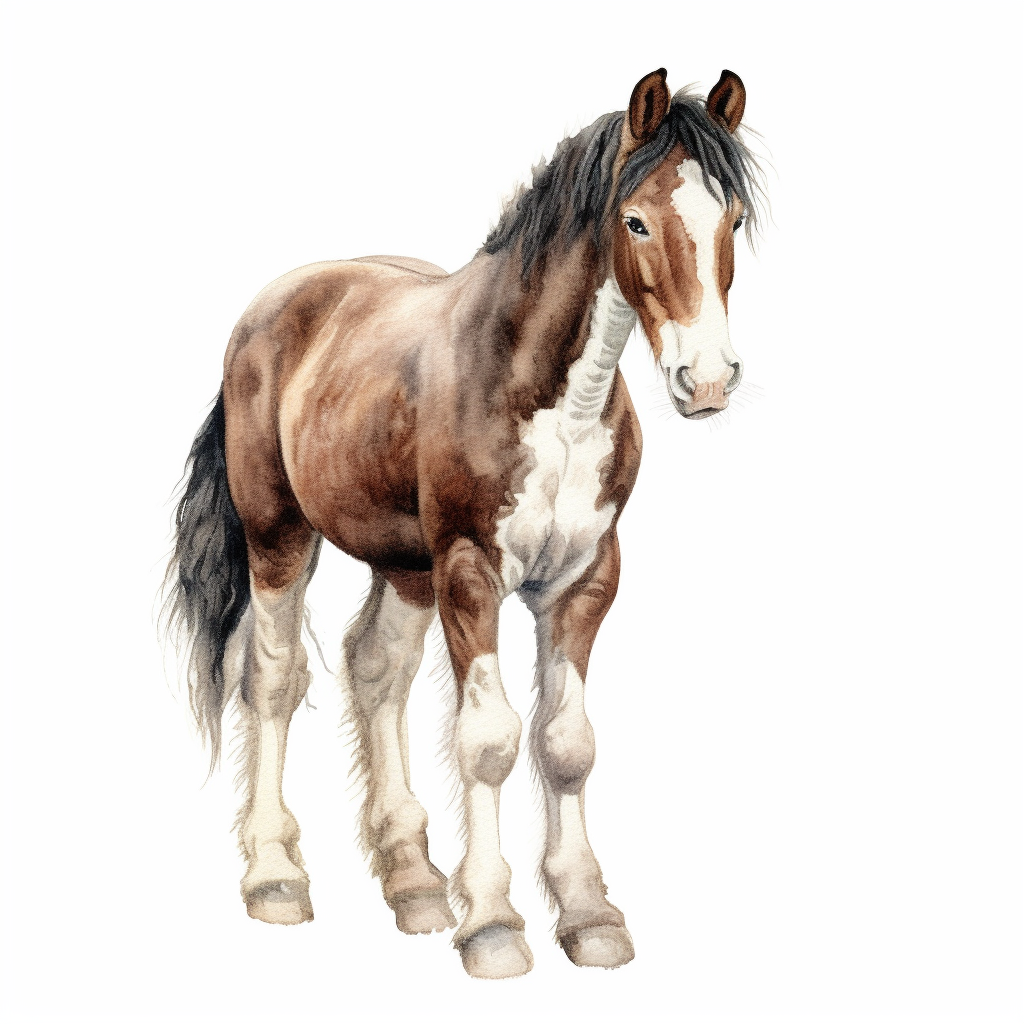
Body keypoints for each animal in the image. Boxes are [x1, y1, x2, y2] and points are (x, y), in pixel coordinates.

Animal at [164, 68, 763, 979]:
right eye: (635, 219)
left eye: (731, 220)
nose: (708, 379)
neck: (545, 397)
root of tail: (272, 309)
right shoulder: (470, 572)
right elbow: (489, 739)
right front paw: (492, 924)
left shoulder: (584, 580)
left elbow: (566, 742)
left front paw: (588, 915)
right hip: (280, 537)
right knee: (270, 678)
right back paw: (274, 875)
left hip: (406, 565)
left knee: (374, 669)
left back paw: (412, 881)